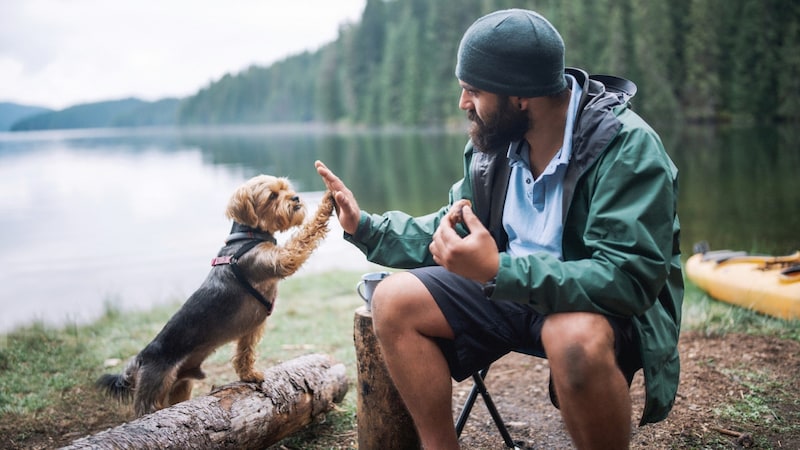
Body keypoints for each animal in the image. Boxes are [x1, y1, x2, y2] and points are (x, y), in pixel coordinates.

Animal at [97, 174, 334, 416]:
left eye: (286, 188)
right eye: (272, 195)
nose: (295, 198)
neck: (248, 236)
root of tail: (141, 358)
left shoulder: (250, 329)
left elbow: (245, 353)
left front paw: (249, 374)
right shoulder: (280, 260)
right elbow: (304, 236)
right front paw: (328, 201)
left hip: (181, 385)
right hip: (154, 389)